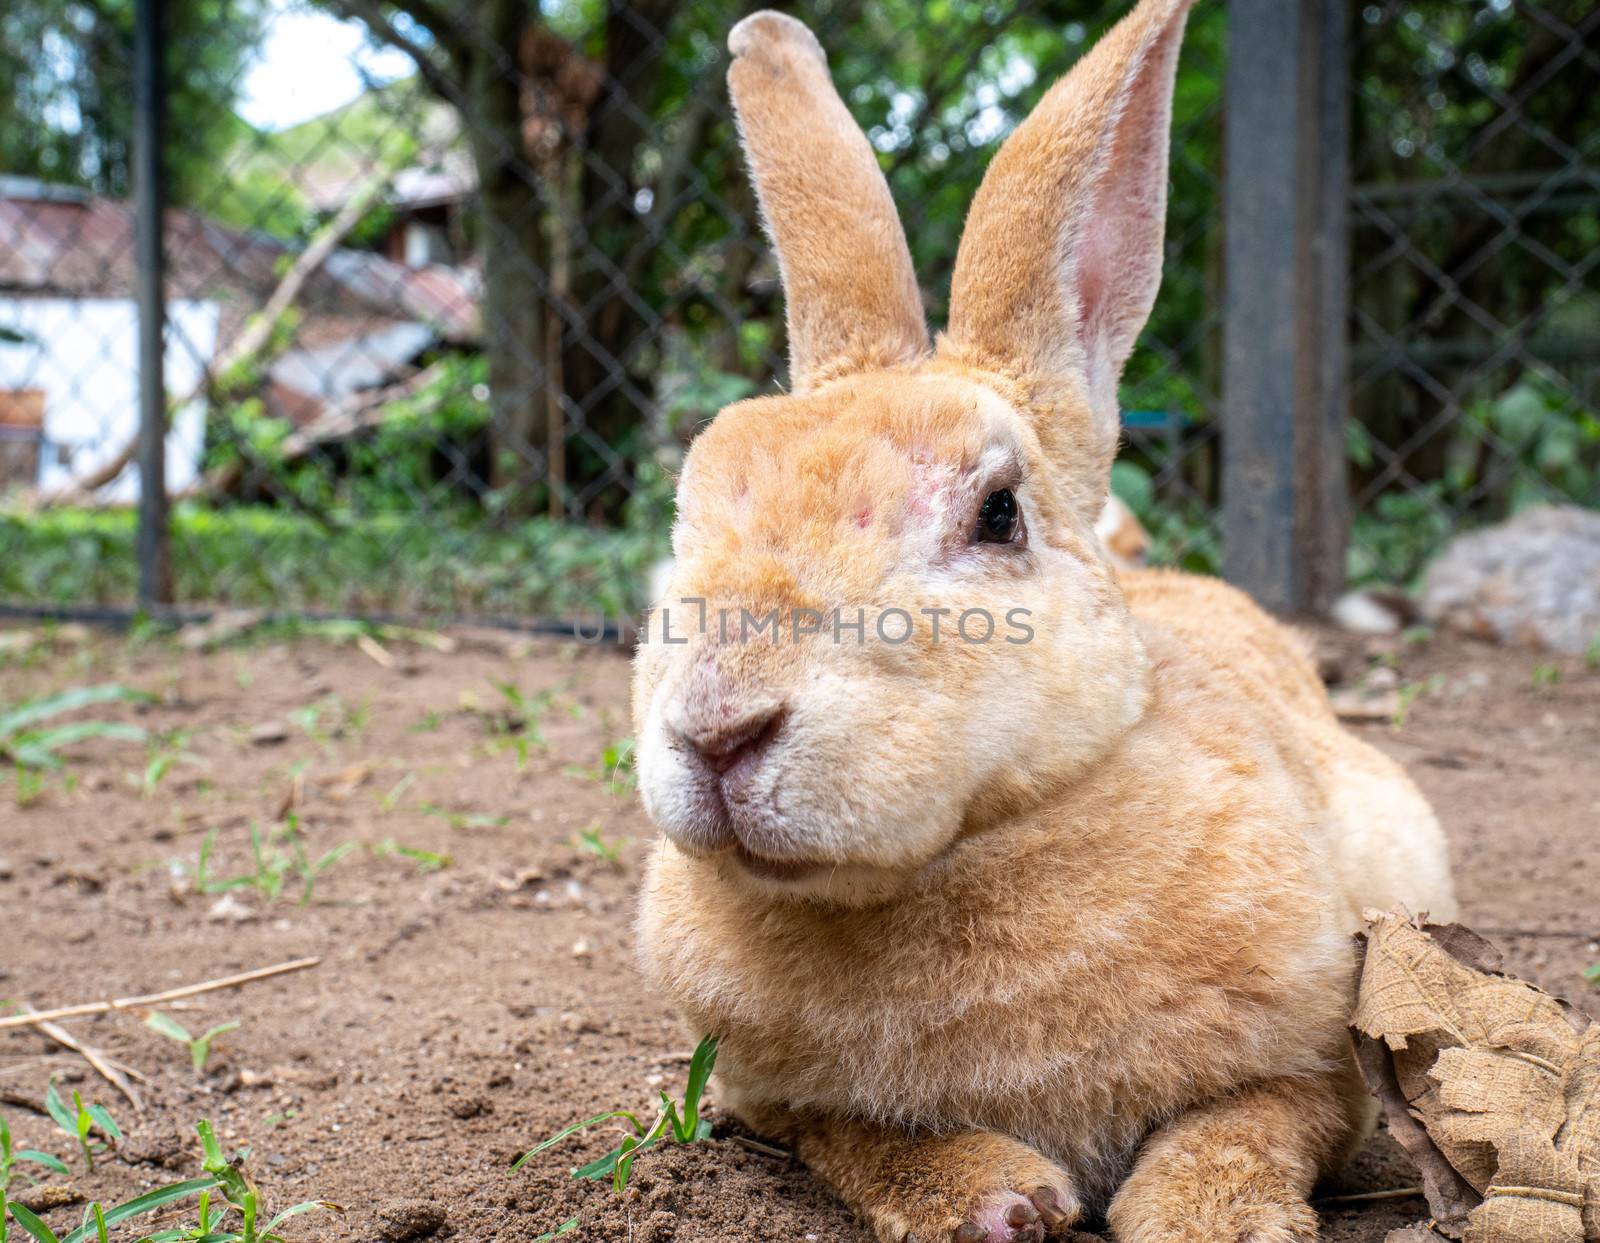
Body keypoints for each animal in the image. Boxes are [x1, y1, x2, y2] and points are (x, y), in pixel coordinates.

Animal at [630, 4, 1459, 1235]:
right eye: (690, 507)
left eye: (998, 511)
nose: (718, 731)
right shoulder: (770, 1098)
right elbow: (854, 1133)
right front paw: (994, 1196)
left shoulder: (1317, 1064)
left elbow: (1252, 1121)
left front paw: (1202, 1215)